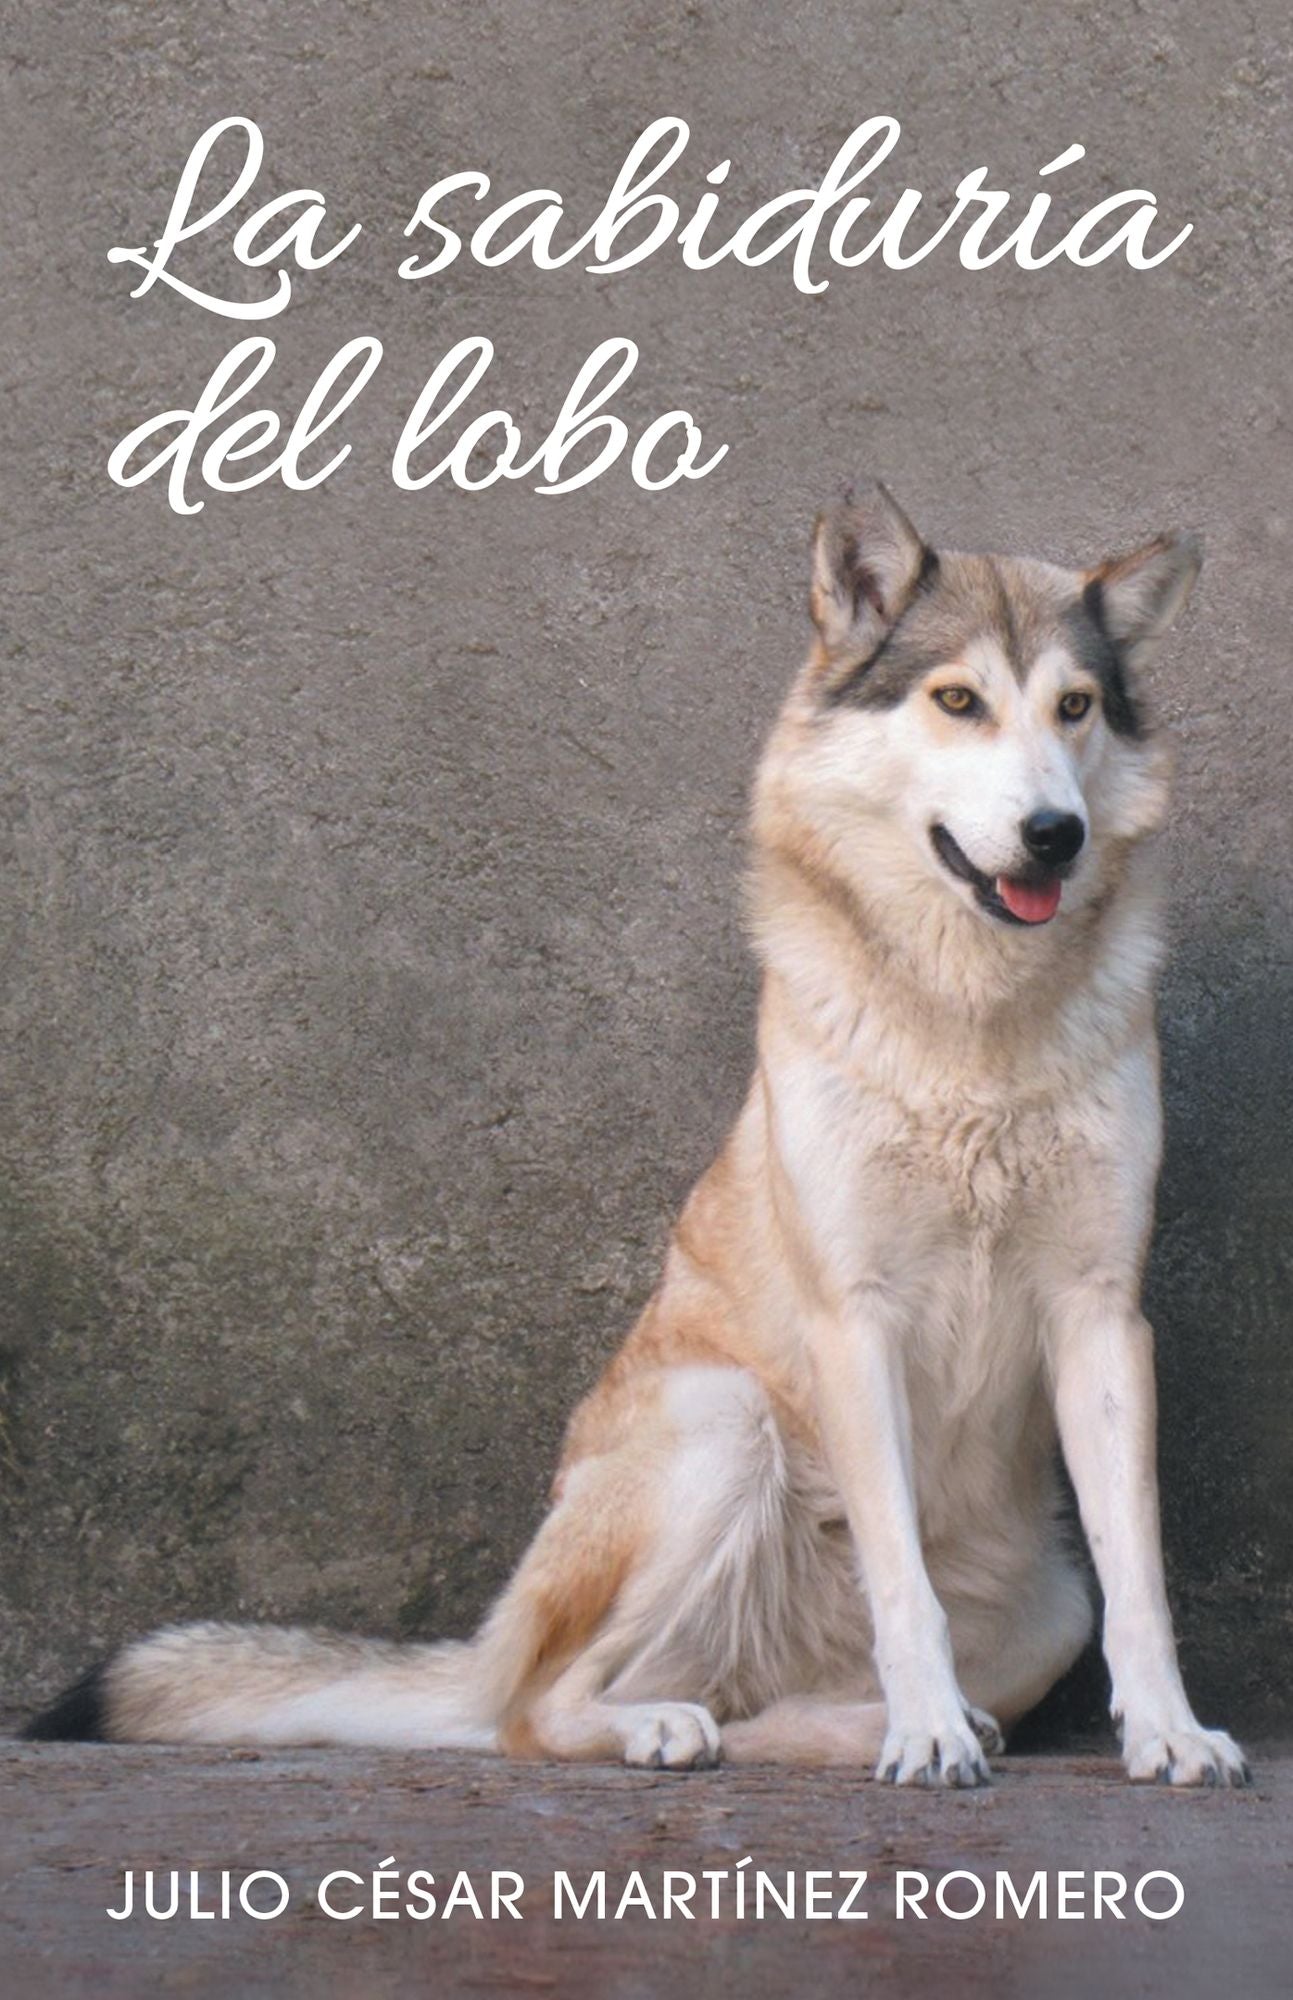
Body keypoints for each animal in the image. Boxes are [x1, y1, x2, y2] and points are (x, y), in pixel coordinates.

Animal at [27, 484, 1248, 1787]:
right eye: (958, 699)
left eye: (1075, 707)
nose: (1055, 831)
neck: (973, 1022)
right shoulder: (854, 1315)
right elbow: (900, 1581)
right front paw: (927, 1727)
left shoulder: (1101, 1315)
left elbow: (1141, 1582)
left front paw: (1166, 1730)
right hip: (726, 1425)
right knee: (540, 1707)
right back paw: (697, 1724)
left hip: (1038, 1601)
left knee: (769, 1709)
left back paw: (891, 1720)